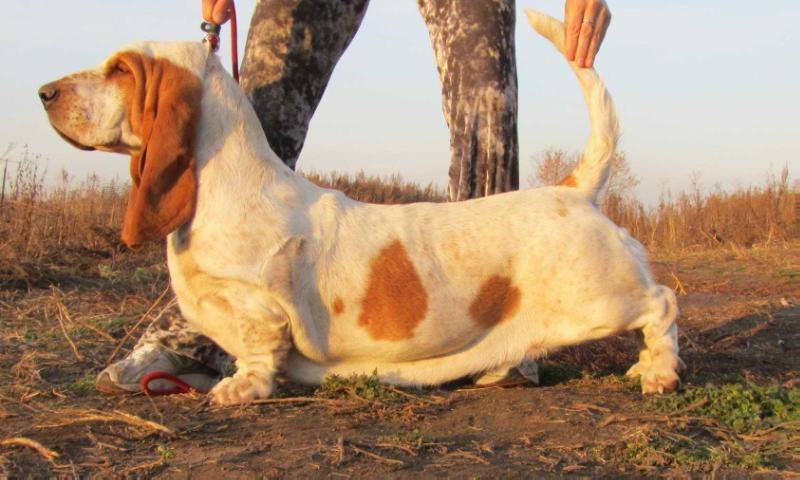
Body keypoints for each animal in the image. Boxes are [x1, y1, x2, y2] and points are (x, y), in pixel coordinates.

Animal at [40, 9, 684, 404]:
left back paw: (658, 373)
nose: (44, 92)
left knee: (662, 304)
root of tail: (574, 188)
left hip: (599, 299)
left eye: (121, 69)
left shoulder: (259, 309)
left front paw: (239, 390)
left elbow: (258, 352)